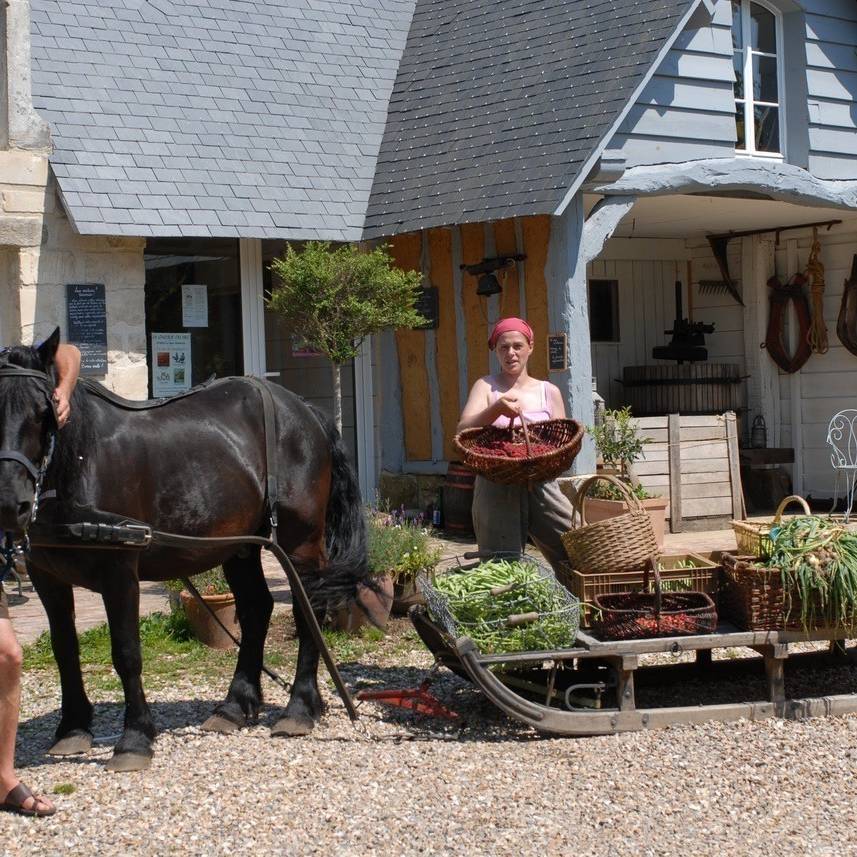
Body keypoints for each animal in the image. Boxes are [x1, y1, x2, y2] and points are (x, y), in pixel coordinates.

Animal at [0, 326, 364, 768]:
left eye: (44, 412)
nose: (9, 504)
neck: (79, 460)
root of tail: (306, 412)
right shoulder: (46, 576)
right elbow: (64, 649)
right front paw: (72, 729)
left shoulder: (120, 572)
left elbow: (126, 652)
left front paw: (135, 738)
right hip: (239, 546)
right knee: (256, 609)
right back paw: (233, 707)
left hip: (301, 542)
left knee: (307, 608)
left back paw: (300, 708)